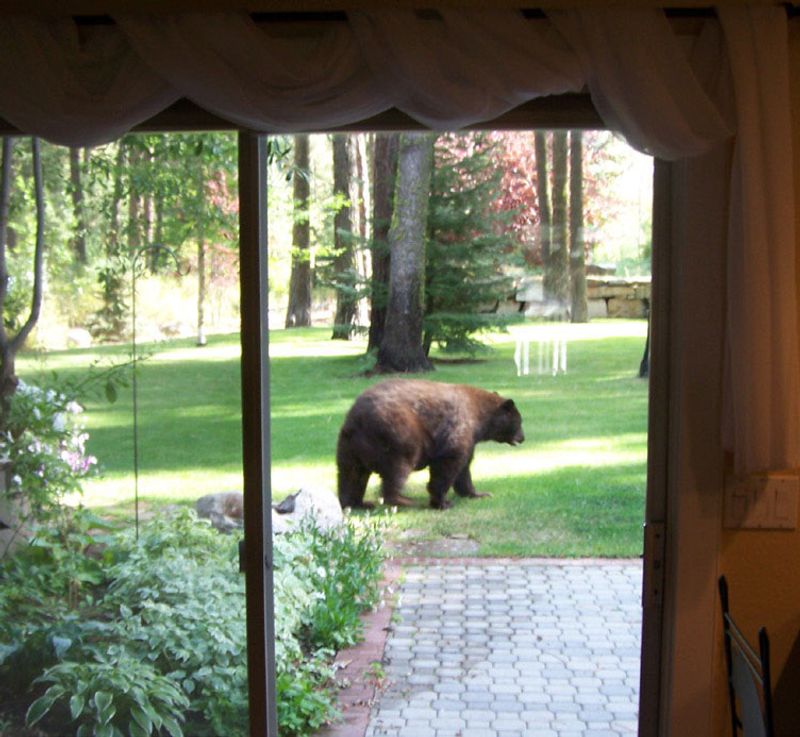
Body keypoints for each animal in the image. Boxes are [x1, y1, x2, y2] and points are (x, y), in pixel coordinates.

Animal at [337, 379, 524, 510]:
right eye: (519, 422)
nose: (523, 437)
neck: (479, 417)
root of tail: (357, 419)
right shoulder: (458, 428)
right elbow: (449, 463)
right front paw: (442, 502)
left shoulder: (470, 440)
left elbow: (464, 468)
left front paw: (478, 493)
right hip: (397, 434)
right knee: (398, 467)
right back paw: (405, 500)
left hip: (349, 445)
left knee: (351, 474)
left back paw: (356, 503)